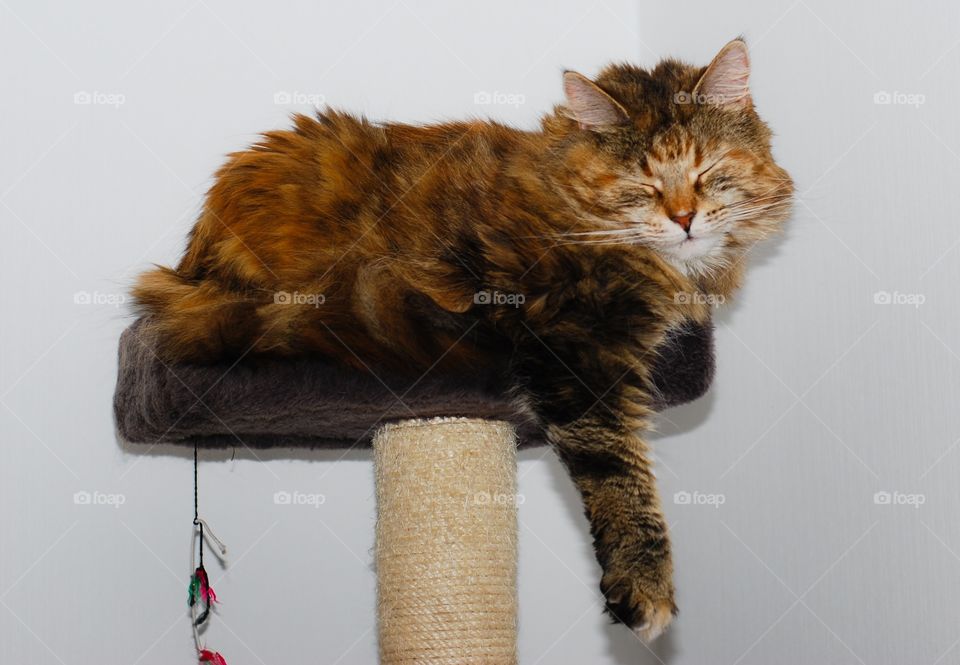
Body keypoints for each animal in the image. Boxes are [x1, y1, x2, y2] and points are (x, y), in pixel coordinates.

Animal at [135, 37, 796, 640]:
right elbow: (619, 476)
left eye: (707, 171)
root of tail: (192, 269)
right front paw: (644, 590)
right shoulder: (575, 355)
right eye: (644, 184)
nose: (683, 219)